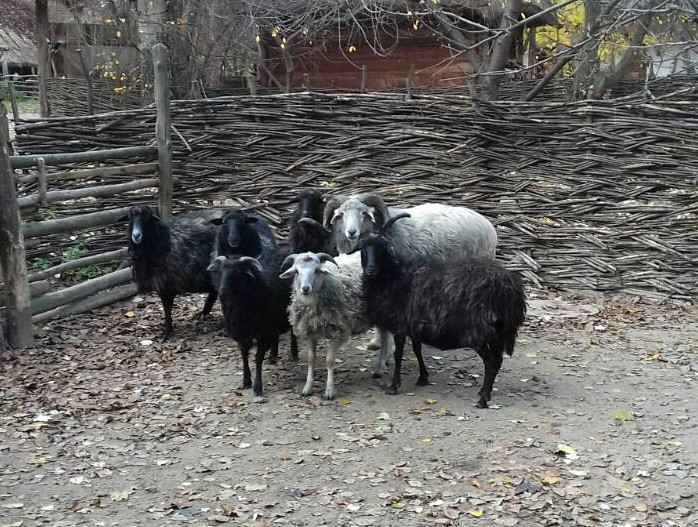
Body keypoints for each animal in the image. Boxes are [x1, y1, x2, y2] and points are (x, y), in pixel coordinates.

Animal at [123, 204, 222, 340]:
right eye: (129, 217)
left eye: (148, 218)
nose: (136, 235)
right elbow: (167, 308)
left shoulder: (166, 284)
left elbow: (167, 308)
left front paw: (166, 332)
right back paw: (203, 314)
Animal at [207, 254, 294, 398]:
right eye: (220, 271)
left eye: (238, 272)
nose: (223, 291)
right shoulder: (243, 333)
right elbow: (244, 354)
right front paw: (246, 381)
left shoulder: (263, 334)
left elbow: (258, 358)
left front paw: (257, 387)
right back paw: (273, 356)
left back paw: (294, 353)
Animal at [350, 229, 524, 406]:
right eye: (363, 249)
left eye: (381, 249)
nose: (371, 269)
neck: (392, 277)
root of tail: (508, 285)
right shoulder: (414, 325)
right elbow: (417, 350)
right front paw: (422, 378)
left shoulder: (400, 326)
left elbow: (398, 356)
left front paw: (393, 386)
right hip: (498, 331)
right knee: (498, 360)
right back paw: (484, 393)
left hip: (479, 331)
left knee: (490, 362)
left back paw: (482, 400)